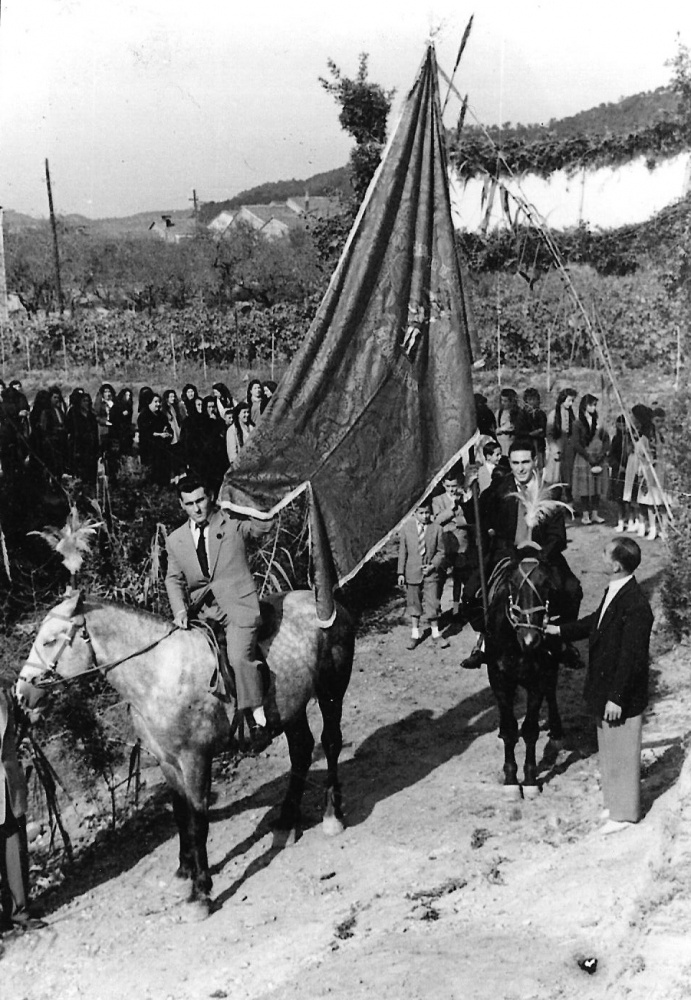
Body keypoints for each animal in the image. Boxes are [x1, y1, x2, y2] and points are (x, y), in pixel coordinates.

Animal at [16, 588, 356, 916]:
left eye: (50, 640)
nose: (21, 693)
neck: (158, 674)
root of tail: (329, 603)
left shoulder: (195, 759)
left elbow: (197, 821)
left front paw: (200, 891)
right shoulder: (167, 761)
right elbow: (180, 813)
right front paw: (185, 870)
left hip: (331, 692)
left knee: (330, 743)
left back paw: (332, 815)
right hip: (291, 709)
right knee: (301, 751)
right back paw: (286, 824)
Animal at [484, 548, 564, 796]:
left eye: (546, 583)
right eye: (512, 583)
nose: (530, 639)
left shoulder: (538, 679)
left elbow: (529, 730)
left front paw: (529, 779)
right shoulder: (499, 680)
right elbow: (510, 729)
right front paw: (511, 779)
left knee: (552, 690)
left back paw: (556, 732)